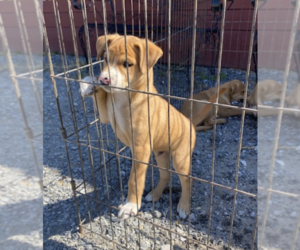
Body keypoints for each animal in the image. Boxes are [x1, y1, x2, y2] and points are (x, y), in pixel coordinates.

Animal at [81, 34, 218, 219]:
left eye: (127, 64)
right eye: (105, 59)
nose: (104, 79)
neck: (123, 96)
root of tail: (189, 122)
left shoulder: (141, 148)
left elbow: (135, 179)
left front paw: (131, 205)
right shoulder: (106, 116)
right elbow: (100, 97)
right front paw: (89, 84)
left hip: (181, 159)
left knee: (187, 180)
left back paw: (184, 206)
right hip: (161, 155)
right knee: (166, 176)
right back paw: (155, 194)